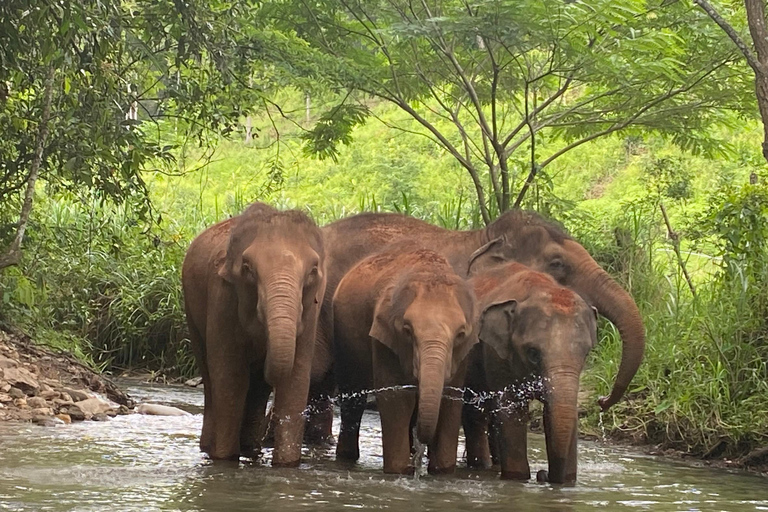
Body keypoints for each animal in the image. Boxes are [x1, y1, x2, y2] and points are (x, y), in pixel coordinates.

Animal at [183, 202, 328, 466]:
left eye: (313, 270)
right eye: (247, 268)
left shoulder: (312, 310)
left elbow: (296, 379)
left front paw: (287, 465)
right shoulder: (222, 297)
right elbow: (230, 376)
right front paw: (224, 459)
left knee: (257, 390)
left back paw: (250, 449)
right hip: (191, 311)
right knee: (210, 377)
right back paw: (210, 448)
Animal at [332, 244, 476, 476]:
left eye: (460, 334)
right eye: (408, 331)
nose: (417, 466)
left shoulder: (463, 354)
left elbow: (451, 400)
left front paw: (442, 471)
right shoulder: (385, 339)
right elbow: (396, 398)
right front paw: (400, 470)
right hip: (344, 337)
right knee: (353, 399)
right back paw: (347, 457)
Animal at [462, 264, 600, 484]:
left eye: (586, 353)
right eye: (533, 353)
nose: (543, 474)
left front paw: (568, 481)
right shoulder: (496, 353)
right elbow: (512, 411)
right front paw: (518, 478)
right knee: (476, 415)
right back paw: (482, 466)